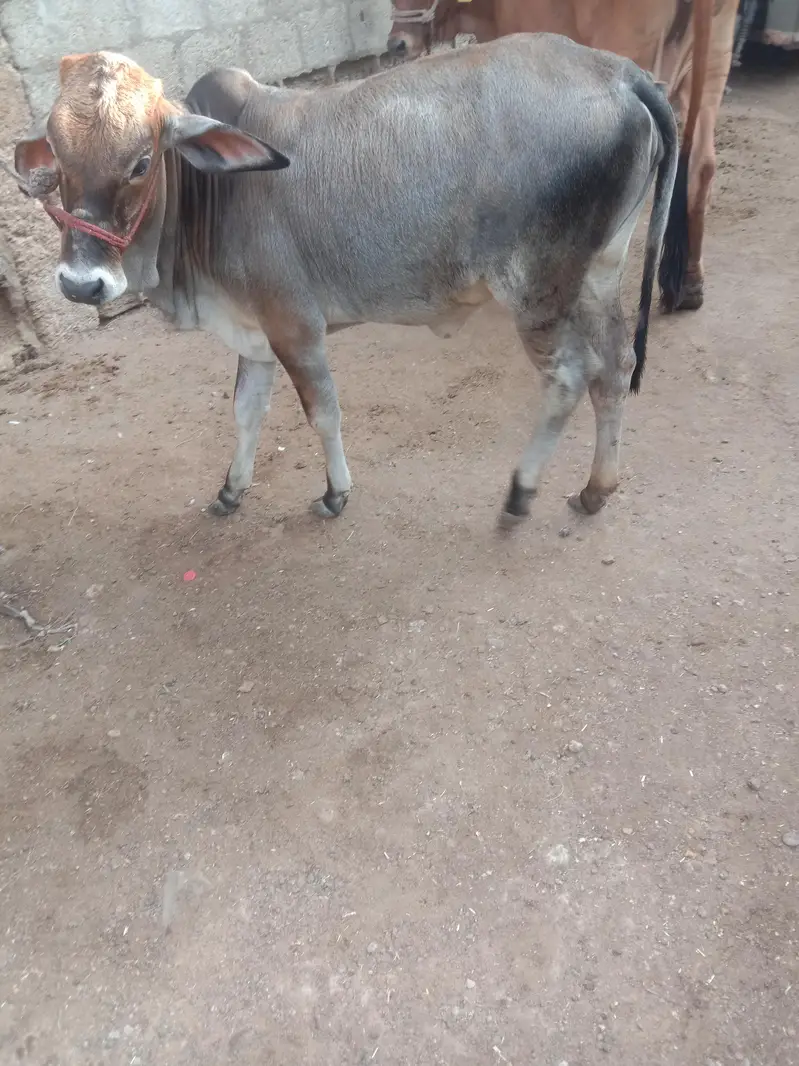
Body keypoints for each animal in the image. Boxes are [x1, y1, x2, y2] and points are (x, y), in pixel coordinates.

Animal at [11, 36, 682, 526]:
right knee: (616, 365)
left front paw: (336, 493)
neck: (211, 194)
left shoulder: (295, 326)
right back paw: (595, 489)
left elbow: (323, 413)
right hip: (597, 275)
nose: (81, 285)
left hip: (537, 290)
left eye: (142, 162)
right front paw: (231, 491)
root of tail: (619, 71)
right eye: (59, 158)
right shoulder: (254, 331)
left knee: (570, 375)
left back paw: (521, 492)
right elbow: (246, 412)